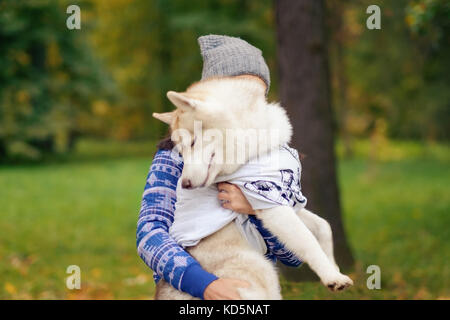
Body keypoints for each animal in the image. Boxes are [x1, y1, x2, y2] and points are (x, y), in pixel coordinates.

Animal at [153, 75, 354, 300]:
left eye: (193, 142)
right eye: (179, 151)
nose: (185, 184)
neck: (257, 143)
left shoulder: (281, 201)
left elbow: (324, 226)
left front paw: (334, 266)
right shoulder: (270, 205)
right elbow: (308, 241)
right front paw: (332, 277)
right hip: (262, 270)